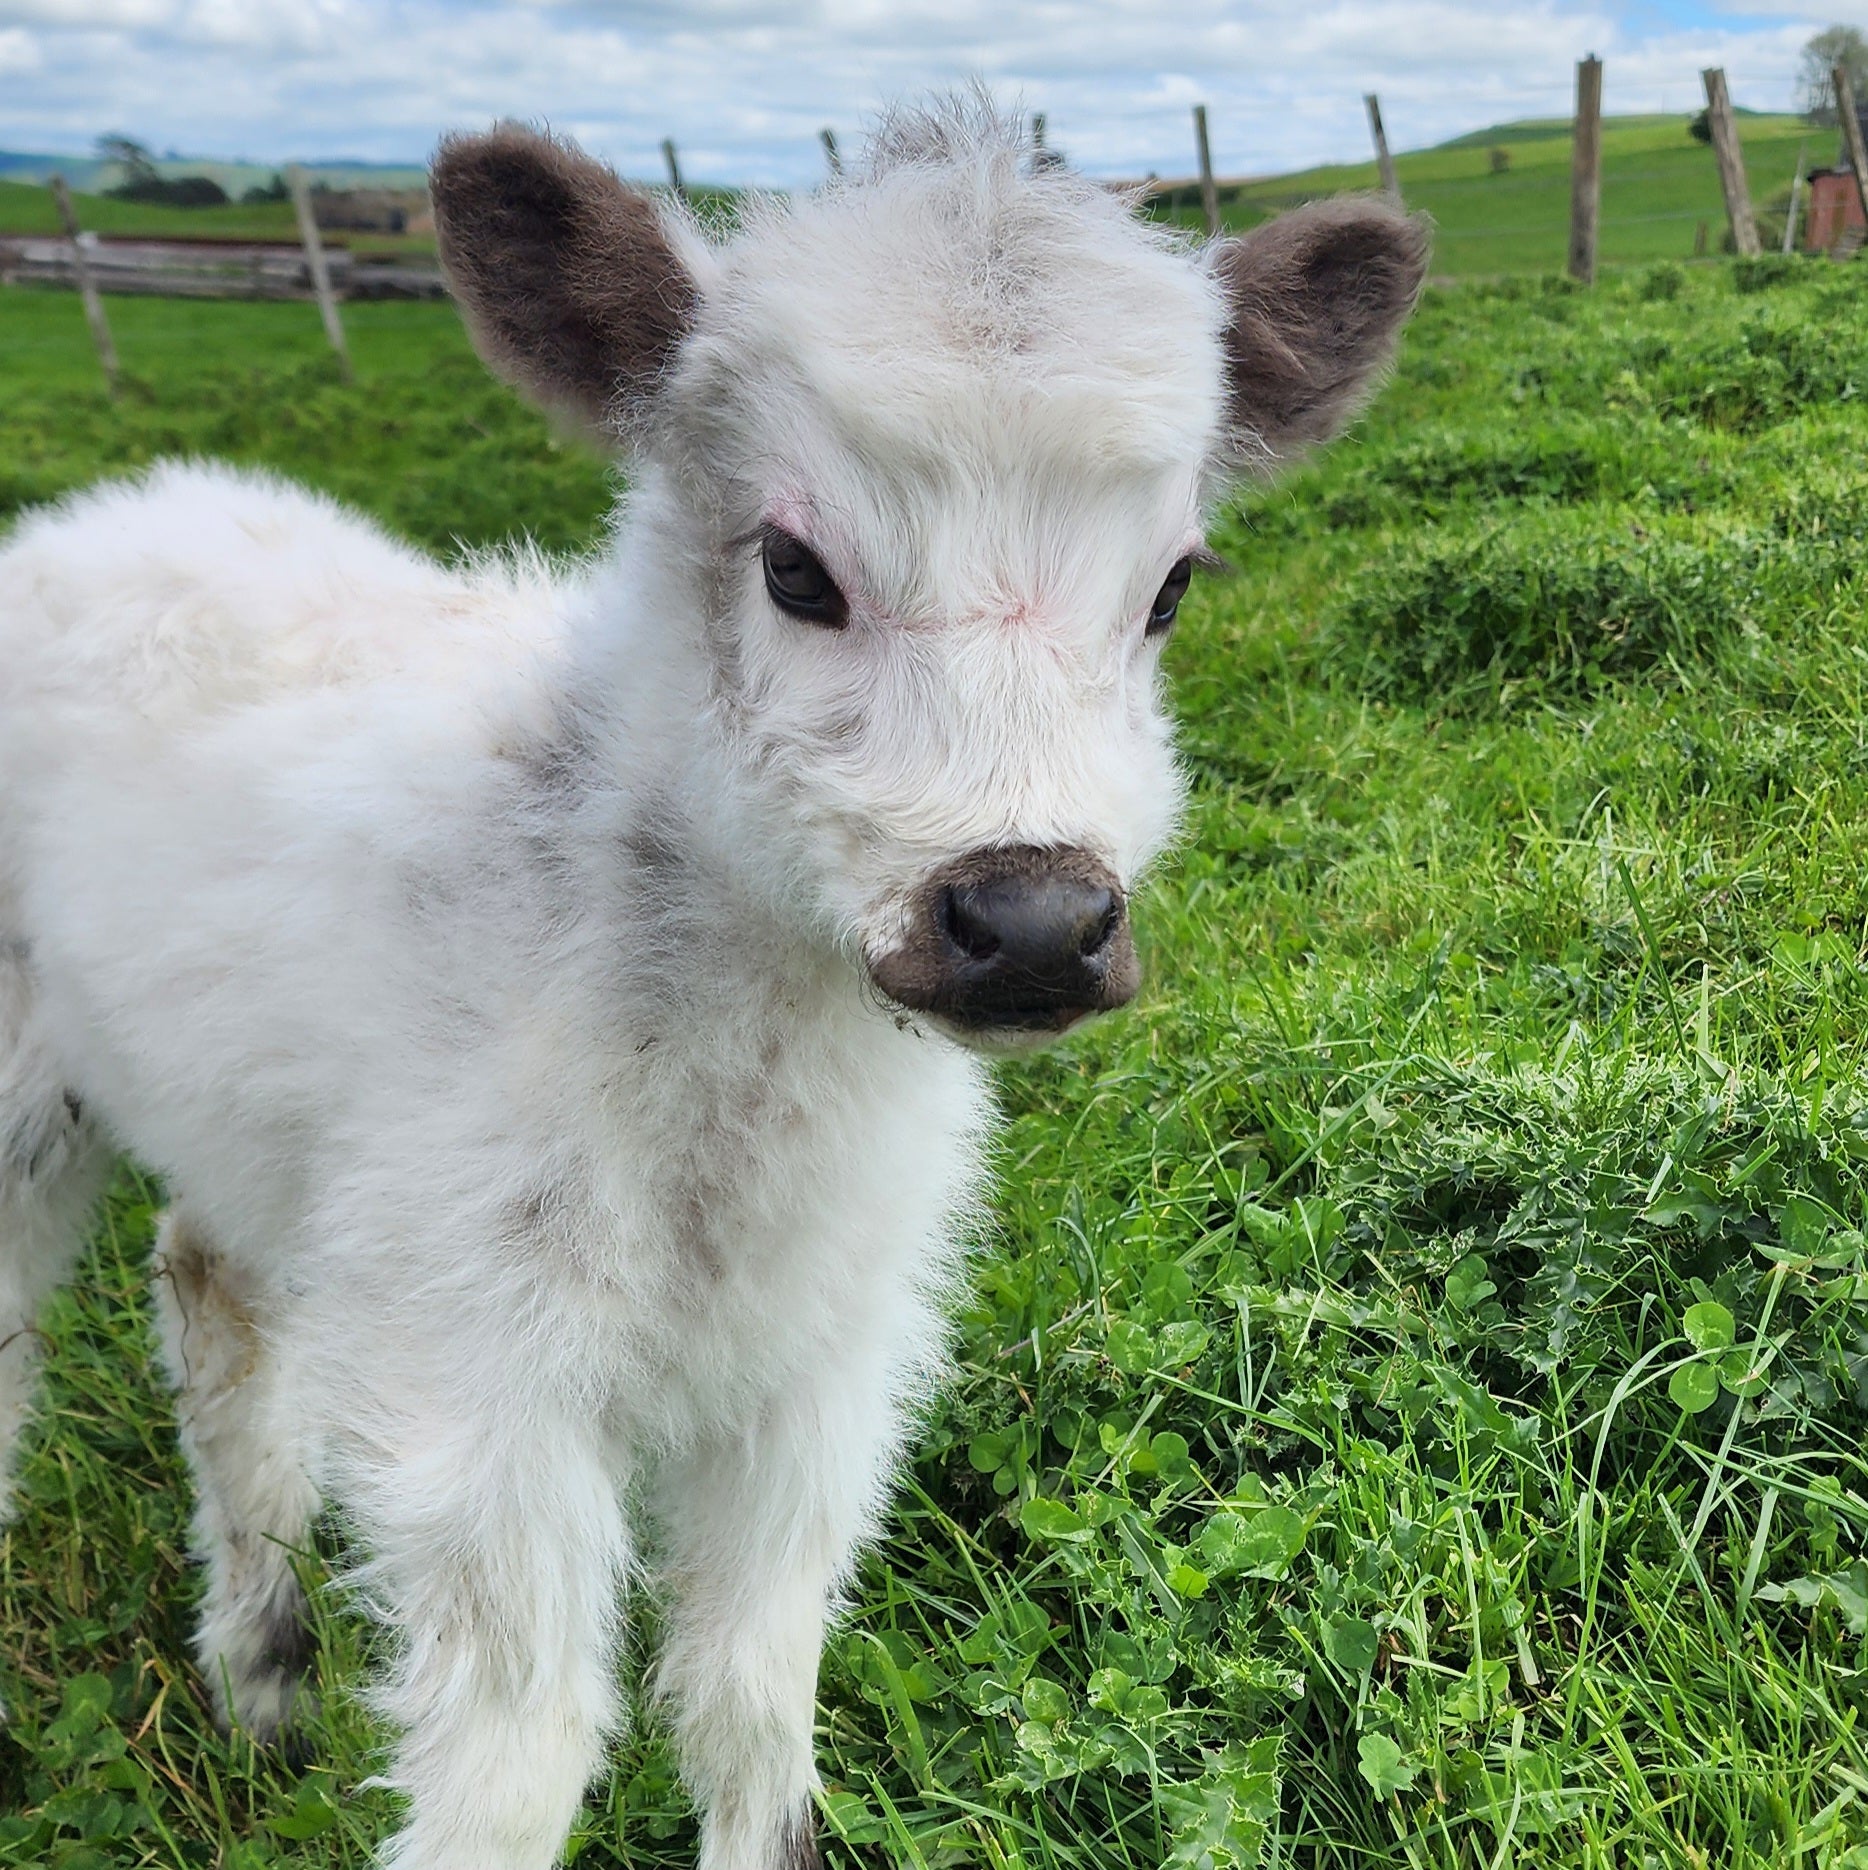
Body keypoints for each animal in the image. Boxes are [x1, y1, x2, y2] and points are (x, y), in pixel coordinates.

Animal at [0, 106, 1421, 1870]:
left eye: (1170, 589)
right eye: (796, 571)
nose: (1031, 920)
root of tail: (106, 514)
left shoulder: (826, 1362)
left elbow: (750, 1690)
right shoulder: (473, 1378)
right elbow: (517, 1753)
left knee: (211, 1290)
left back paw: (264, 1675)